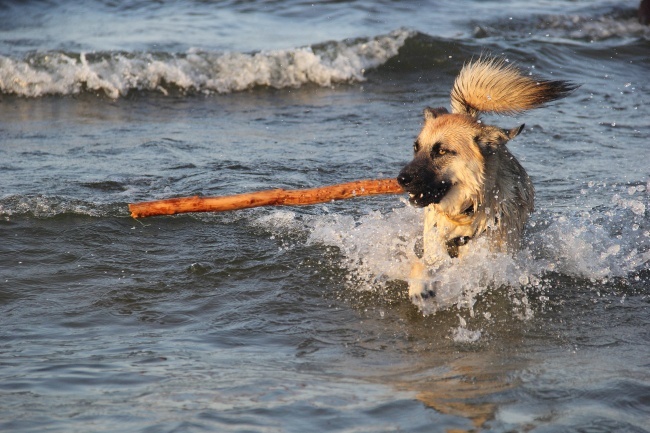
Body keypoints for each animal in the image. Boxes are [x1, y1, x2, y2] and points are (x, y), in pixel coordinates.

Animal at [394, 56, 572, 300]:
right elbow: (420, 264)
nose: (401, 179)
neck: (466, 213)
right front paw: (420, 286)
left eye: (442, 151)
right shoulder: (435, 247)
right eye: (416, 148)